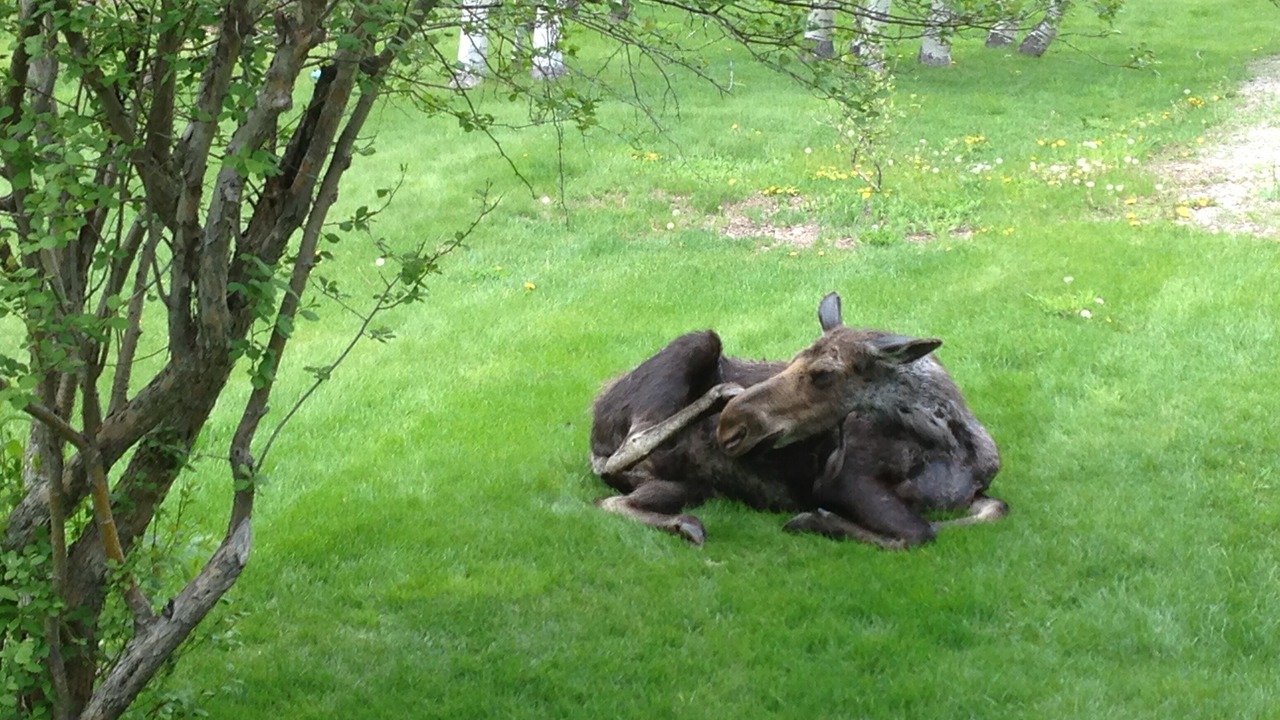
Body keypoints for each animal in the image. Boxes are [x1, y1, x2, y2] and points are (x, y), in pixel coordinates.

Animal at [589, 292, 1007, 550]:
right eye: (791, 359)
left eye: (824, 374)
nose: (730, 427)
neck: (948, 445)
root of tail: (595, 432)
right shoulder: (841, 479)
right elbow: (921, 531)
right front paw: (817, 521)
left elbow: (992, 511)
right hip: (697, 341)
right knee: (631, 444)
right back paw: (720, 394)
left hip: (688, 486)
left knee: (611, 502)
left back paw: (685, 523)